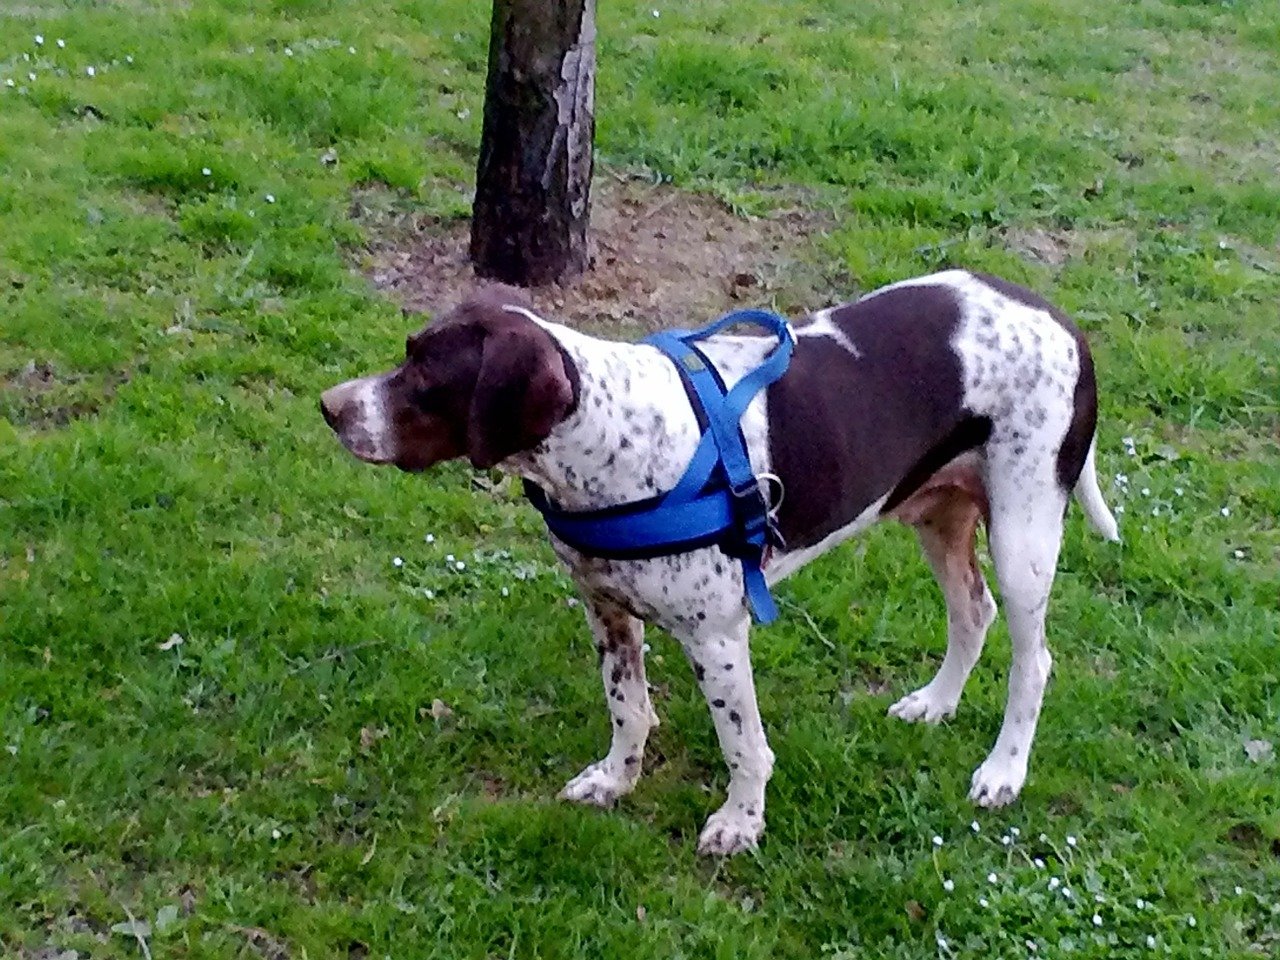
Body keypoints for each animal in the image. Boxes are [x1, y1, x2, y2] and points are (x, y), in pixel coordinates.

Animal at [322, 268, 1121, 855]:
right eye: (407, 351)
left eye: (427, 375)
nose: (330, 406)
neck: (609, 438)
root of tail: (1064, 322)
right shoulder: (606, 609)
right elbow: (629, 709)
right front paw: (615, 782)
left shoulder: (717, 638)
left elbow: (742, 745)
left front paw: (741, 823)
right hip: (938, 513)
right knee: (971, 613)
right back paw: (935, 703)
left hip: (1023, 534)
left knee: (1033, 660)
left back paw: (1003, 771)